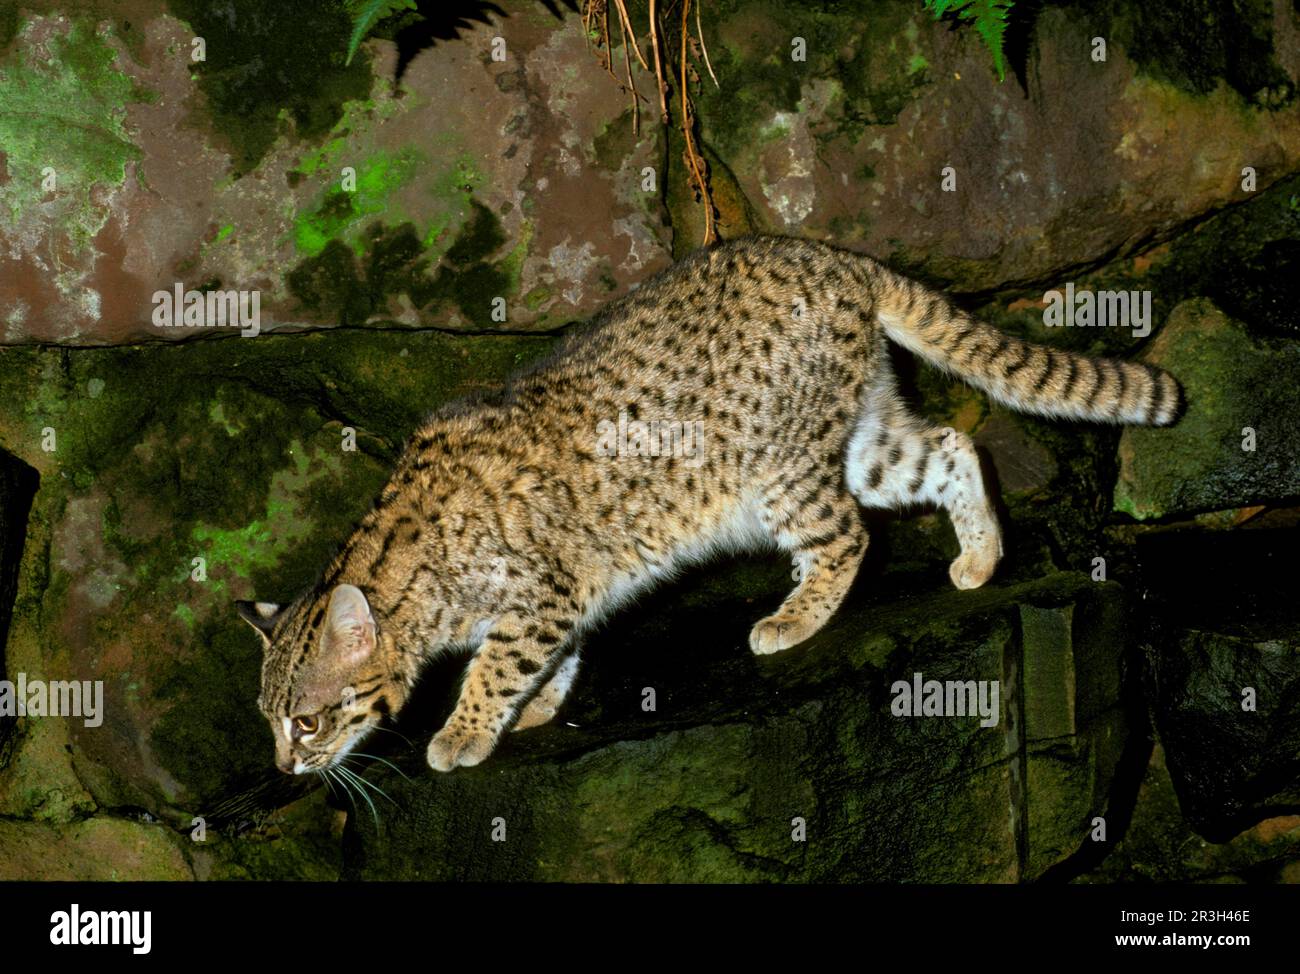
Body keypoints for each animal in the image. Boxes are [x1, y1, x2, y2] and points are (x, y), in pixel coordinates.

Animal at [233, 231, 1180, 769]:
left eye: (307, 723)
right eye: (268, 720)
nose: (283, 770)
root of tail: (840, 257)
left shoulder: (536, 592)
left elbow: (497, 662)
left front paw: (464, 731)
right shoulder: (564, 592)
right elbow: (553, 656)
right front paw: (536, 708)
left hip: (782, 474)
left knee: (845, 538)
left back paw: (794, 617)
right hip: (865, 441)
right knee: (949, 446)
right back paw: (980, 558)